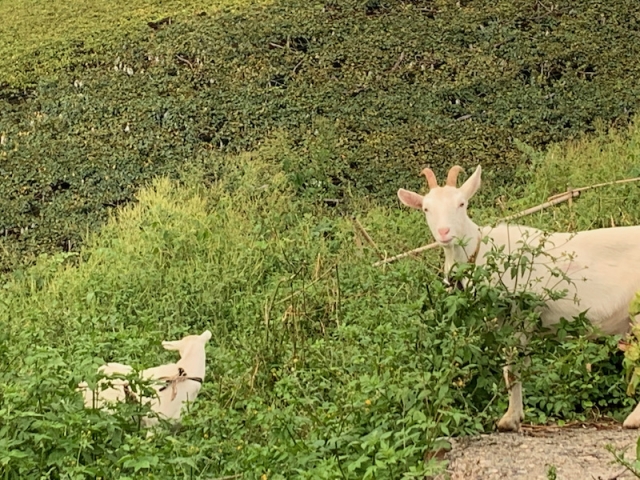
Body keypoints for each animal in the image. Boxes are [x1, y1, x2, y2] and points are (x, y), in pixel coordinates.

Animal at [398, 166, 640, 432]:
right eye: (426, 209)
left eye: (462, 203)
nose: (444, 233)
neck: (480, 251)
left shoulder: (518, 312)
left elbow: (512, 368)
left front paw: (509, 419)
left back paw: (633, 419)